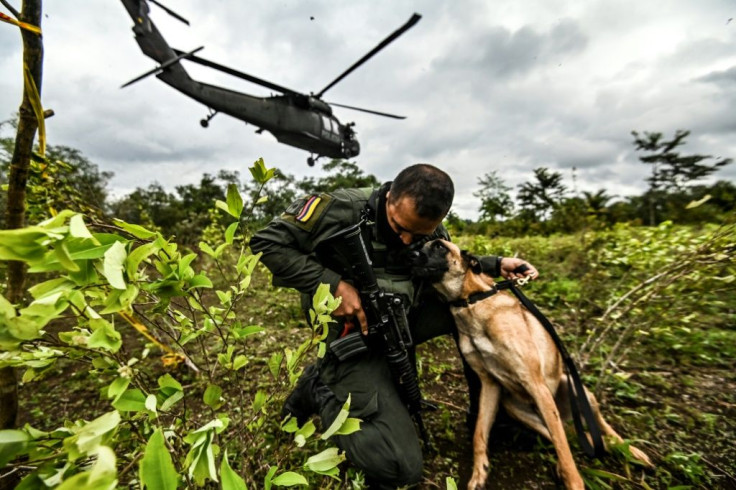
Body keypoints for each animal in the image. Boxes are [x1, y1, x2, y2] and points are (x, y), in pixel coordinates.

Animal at [414, 240, 648, 490]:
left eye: (439, 246)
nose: (410, 254)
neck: (471, 301)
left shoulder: (535, 383)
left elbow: (563, 449)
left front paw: (574, 482)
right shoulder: (490, 384)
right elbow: (479, 432)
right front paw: (479, 472)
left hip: (578, 392)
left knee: (592, 430)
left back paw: (631, 451)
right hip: (515, 406)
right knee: (565, 435)